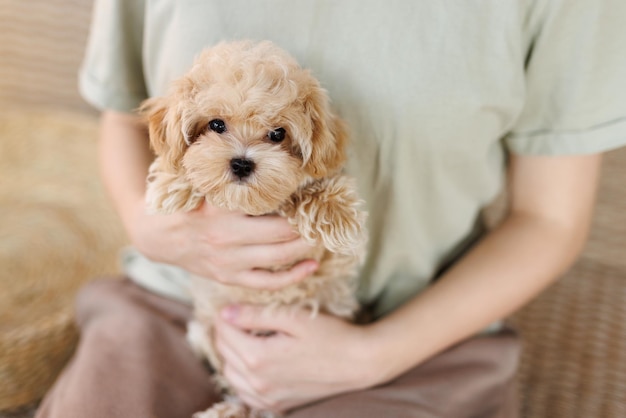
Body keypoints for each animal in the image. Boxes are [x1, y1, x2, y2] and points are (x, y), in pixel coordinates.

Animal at [140, 40, 366, 418]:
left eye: (278, 134)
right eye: (216, 124)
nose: (242, 163)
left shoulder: (332, 265)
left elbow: (322, 193)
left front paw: (337, 213)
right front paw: (173, 185)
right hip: (202, 329)